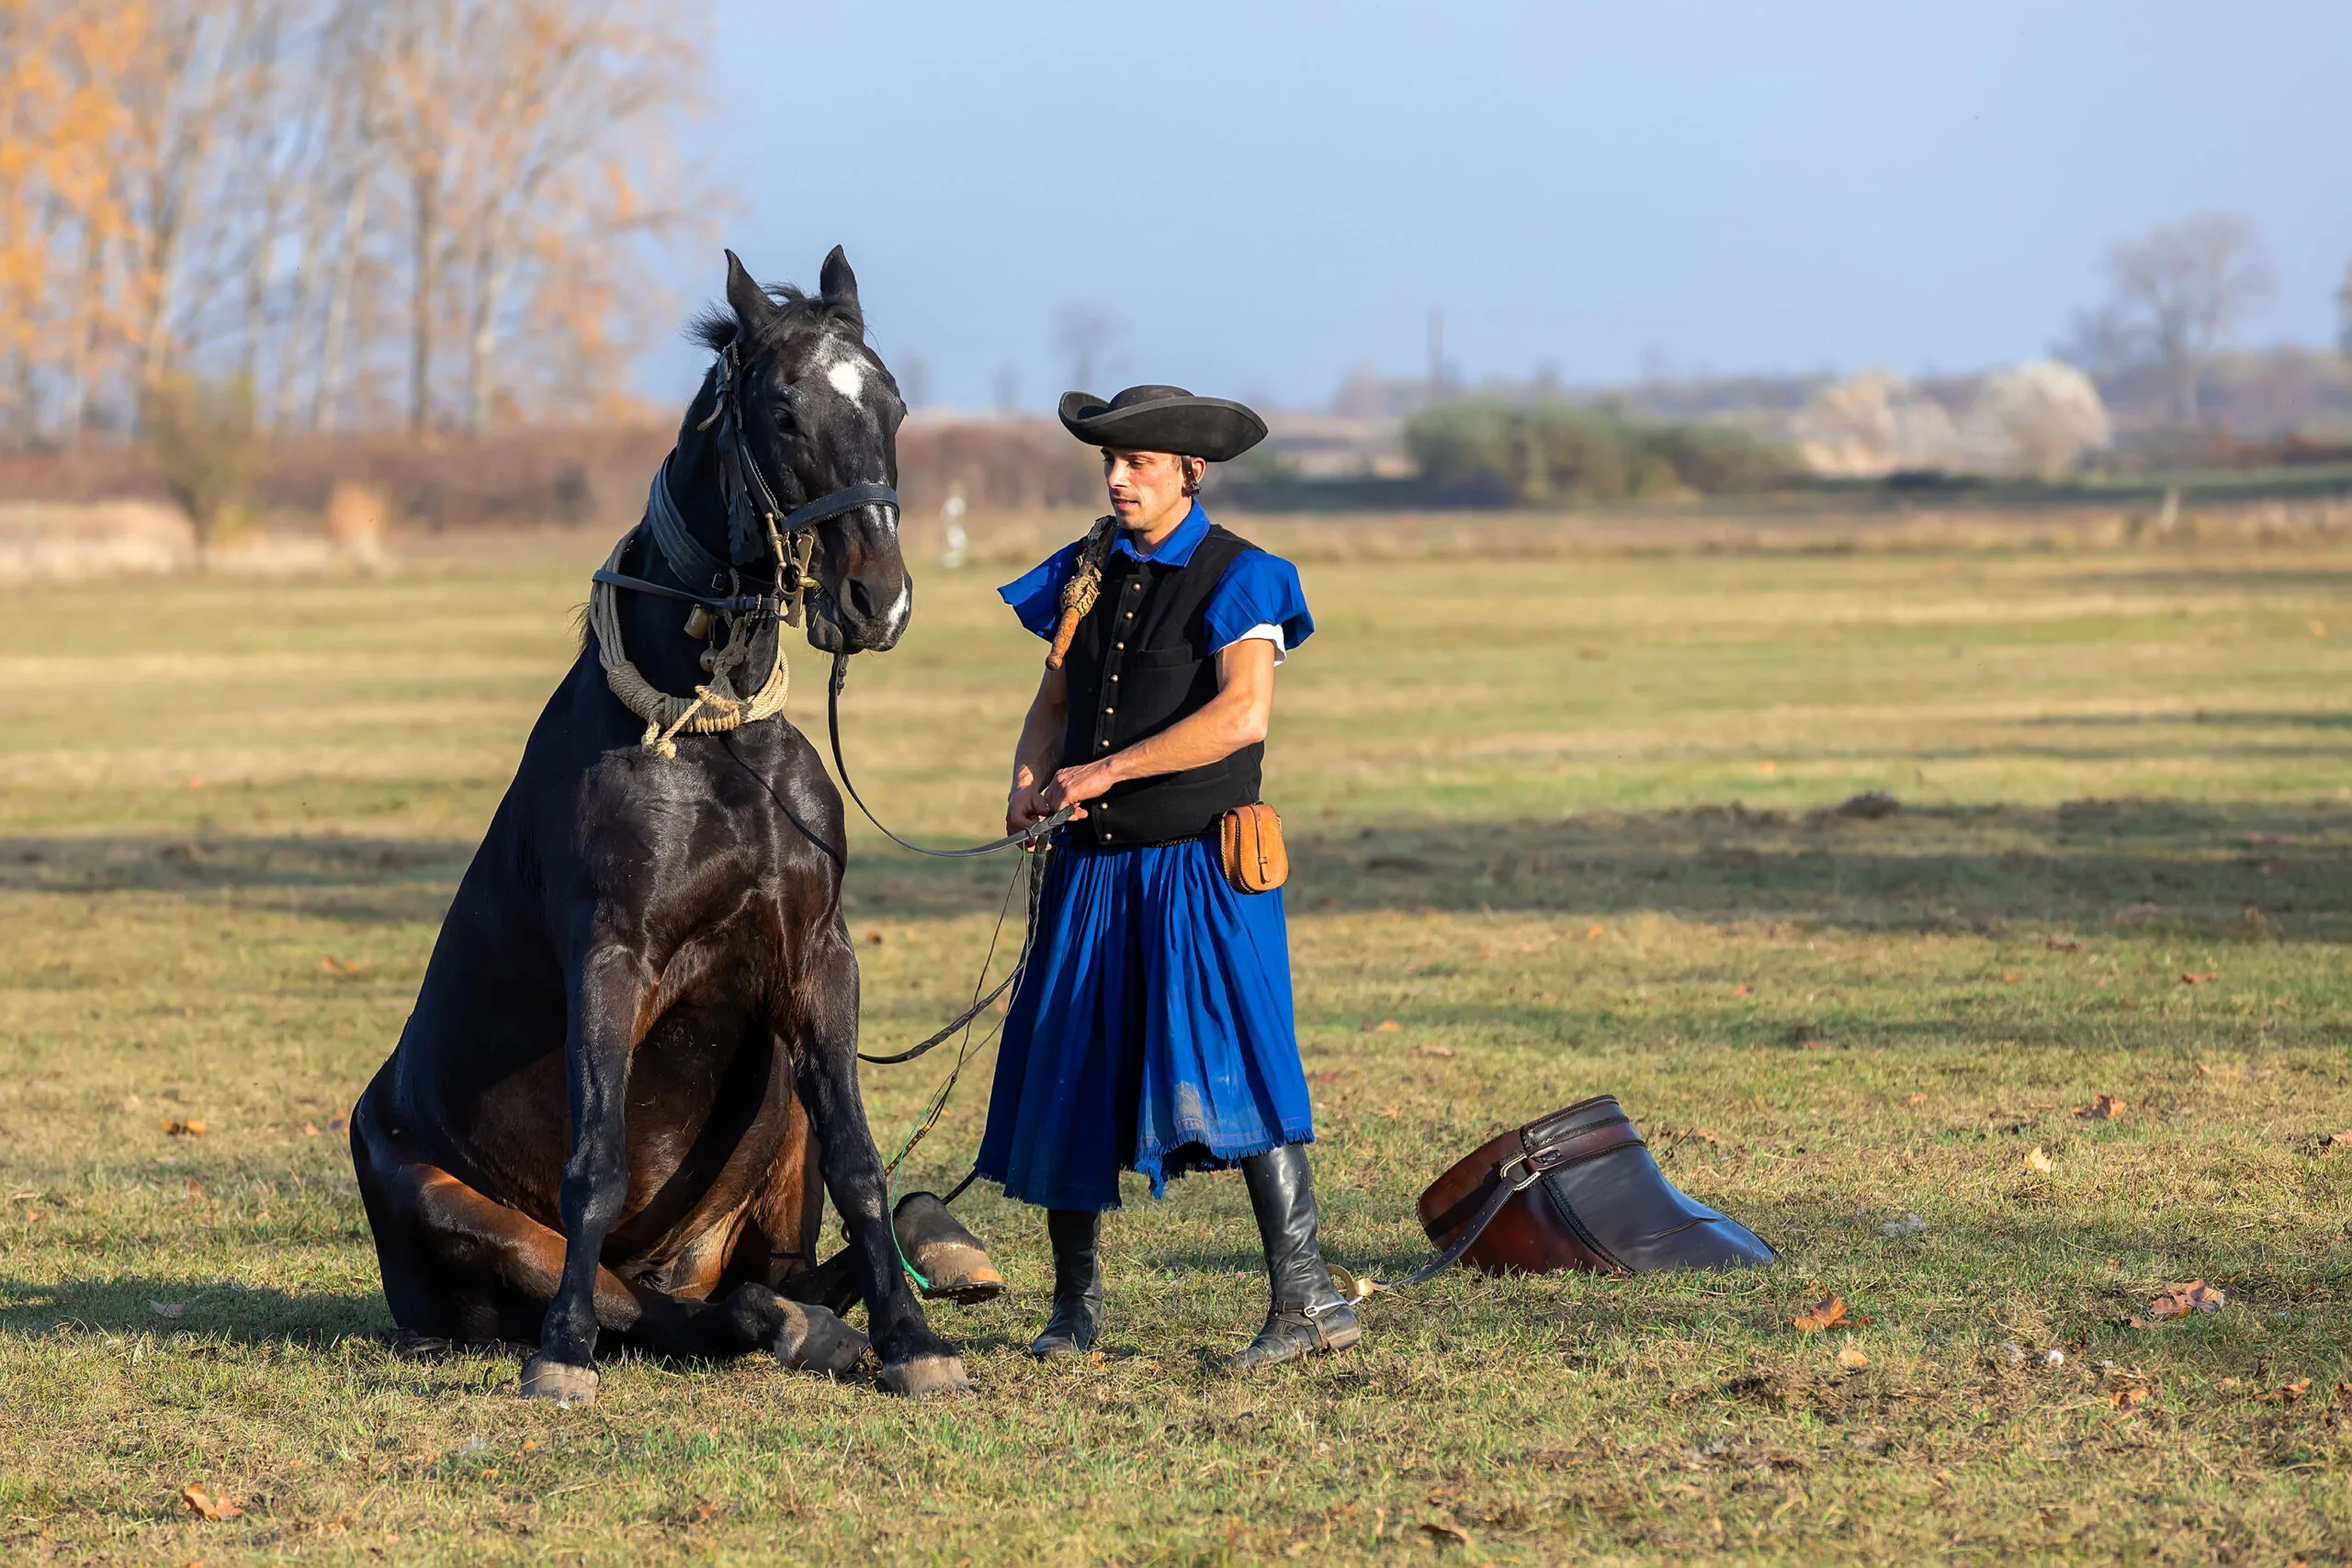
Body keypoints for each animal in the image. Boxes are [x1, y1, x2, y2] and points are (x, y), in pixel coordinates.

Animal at [350, 247, 995, 1403]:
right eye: (782, 412)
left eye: (892, 404)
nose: (876, 601)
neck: (710, 739)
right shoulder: (610, 960)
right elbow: (595, 1165)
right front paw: (560, 1358)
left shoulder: (816, 961)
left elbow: (864, 1163)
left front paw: (913, 1340)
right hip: (455, 1208)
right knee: (642, 1304)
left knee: (758, 1276)